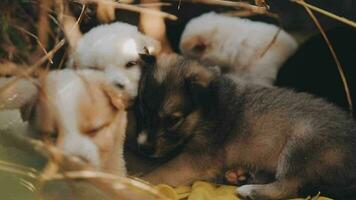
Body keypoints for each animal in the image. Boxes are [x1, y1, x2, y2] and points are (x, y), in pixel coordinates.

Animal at [136, 53, 356, 200]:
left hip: (302, 142)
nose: (143, 148)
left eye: (174, 120)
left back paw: (250, 189)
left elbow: (161, 172)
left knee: (289, 186)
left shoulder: (195, 160)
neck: (209, 107)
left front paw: (137, 182)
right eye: (143, 110)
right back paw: (240, 175)